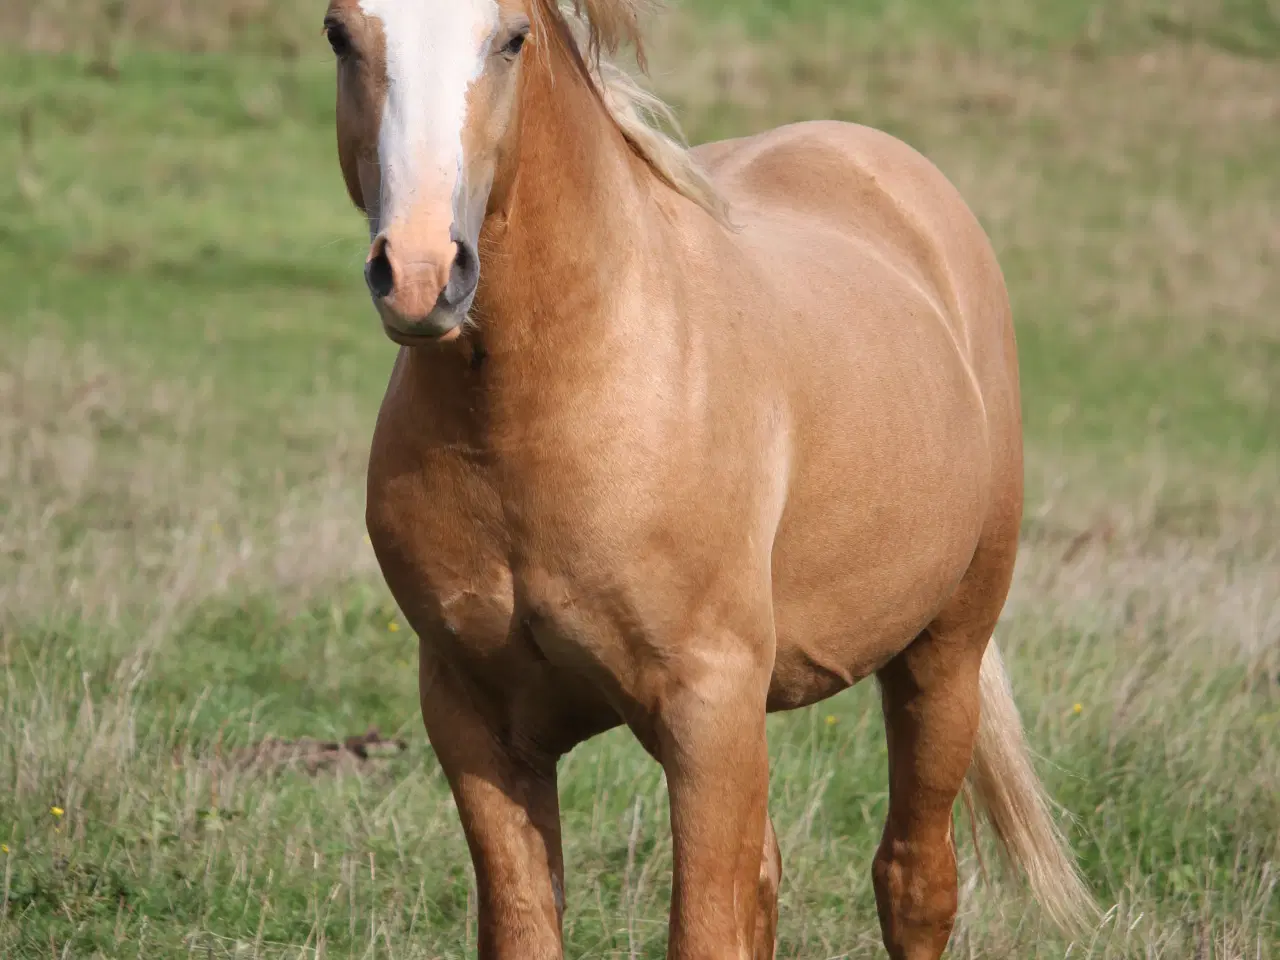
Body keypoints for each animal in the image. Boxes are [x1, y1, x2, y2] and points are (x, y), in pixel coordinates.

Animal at [320, 1, 1090, 960]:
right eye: (340, 34)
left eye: (511, 40)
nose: (422, 273)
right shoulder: (476, 721)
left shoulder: (708, 712)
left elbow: (707, 928)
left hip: (943, 654)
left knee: (914, 879)